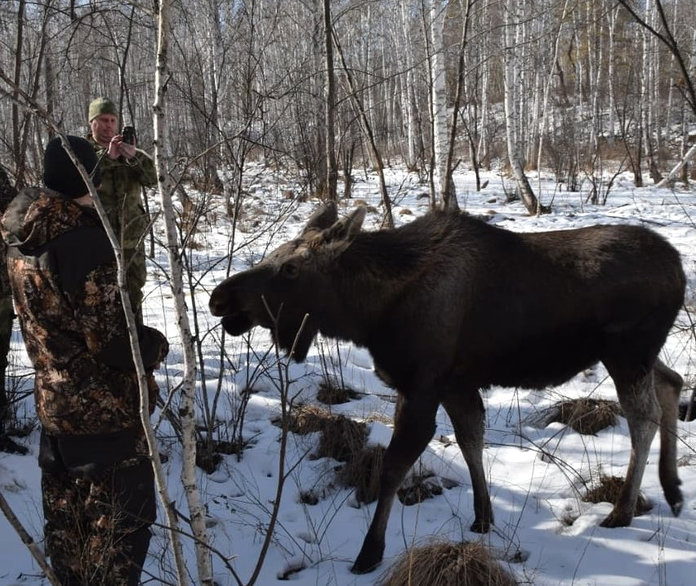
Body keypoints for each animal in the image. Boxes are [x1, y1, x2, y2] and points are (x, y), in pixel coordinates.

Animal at [208, 203, 684, 572]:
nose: (219, 299)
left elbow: (395, 466)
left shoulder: (421, 384)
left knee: (644, 417)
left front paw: (370, 552)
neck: (369, 314)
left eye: (290, 268)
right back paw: (673, 489)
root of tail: (679, 267)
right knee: (673, 382)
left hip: (626, 351)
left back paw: (623, 509)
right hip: (638, 354)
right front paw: (483, 518)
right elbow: (471, 440)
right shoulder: (455, 384)